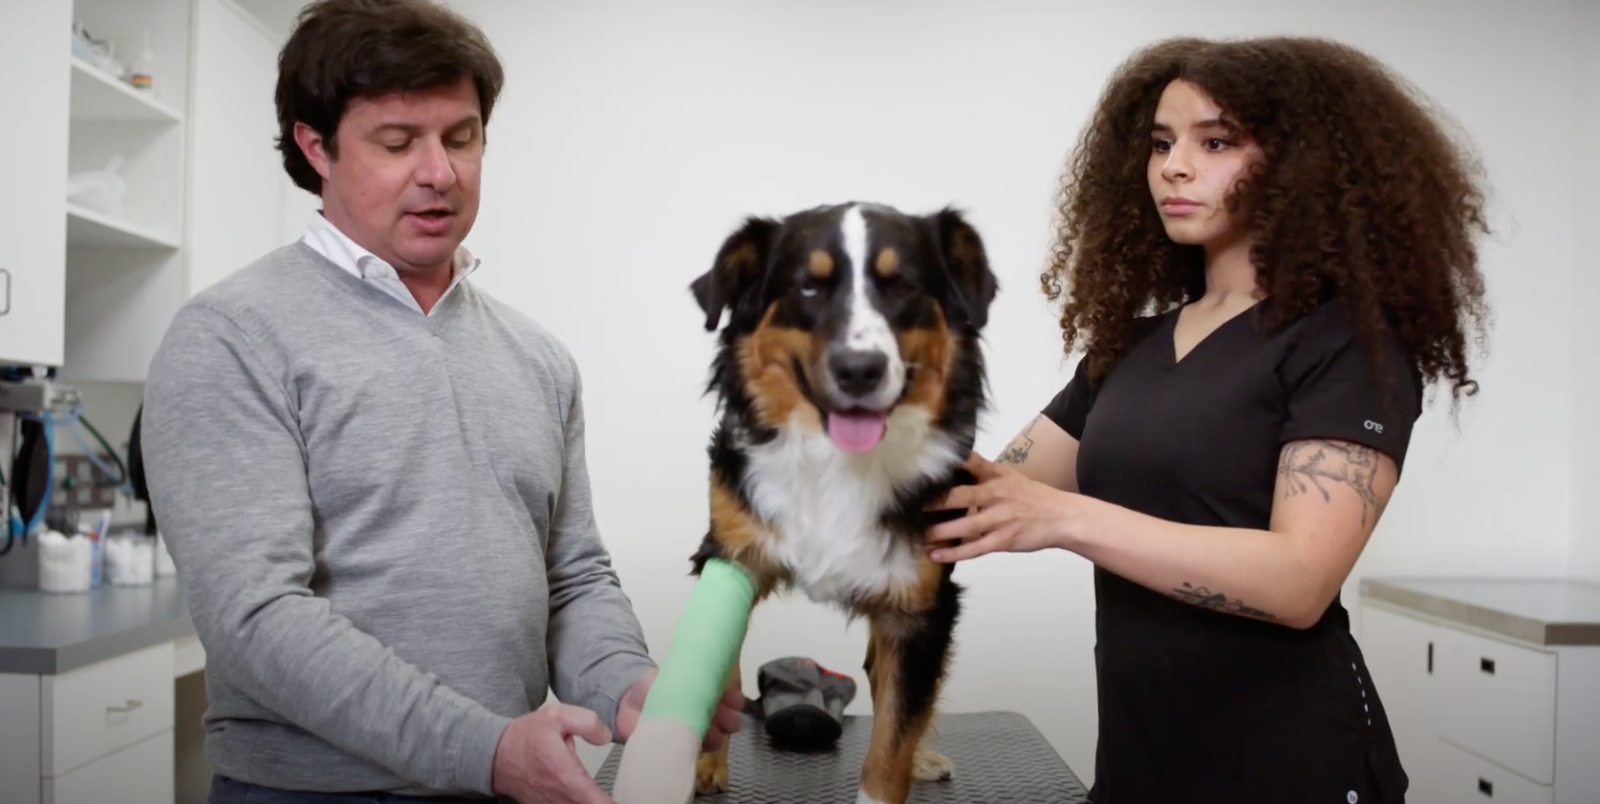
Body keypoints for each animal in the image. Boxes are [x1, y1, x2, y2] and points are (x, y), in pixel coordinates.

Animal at [685, 201, 999, 804]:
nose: (860, 370)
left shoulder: (919, 612)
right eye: (810, 287)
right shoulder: (729, 554)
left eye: (902, 286)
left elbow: (892, 741)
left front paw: (899, 765)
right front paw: (704, 763)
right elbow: (721, 670)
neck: (836, 461)